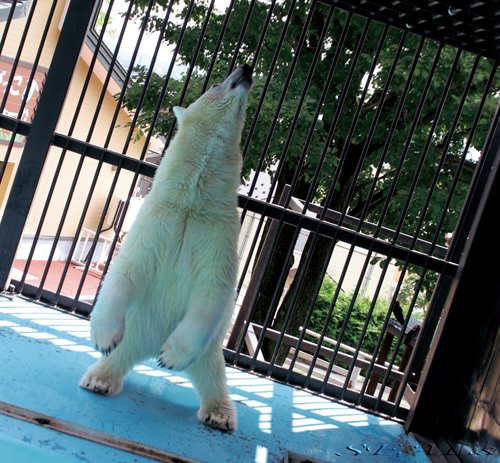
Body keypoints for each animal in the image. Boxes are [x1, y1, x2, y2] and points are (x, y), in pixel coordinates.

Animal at [79, 64, 252, 432]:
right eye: (216, 84)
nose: (246, 69)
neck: (192, 201)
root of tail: (148, 346)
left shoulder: (218, 232)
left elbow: (213, 290)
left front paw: (171, 356)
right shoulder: (158, 219)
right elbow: (125, 270)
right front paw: (102, 336)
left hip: (208, 352)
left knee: (214, 375)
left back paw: (219, 413)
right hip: (137, 329)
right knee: (121, 353)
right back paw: (100, 377)